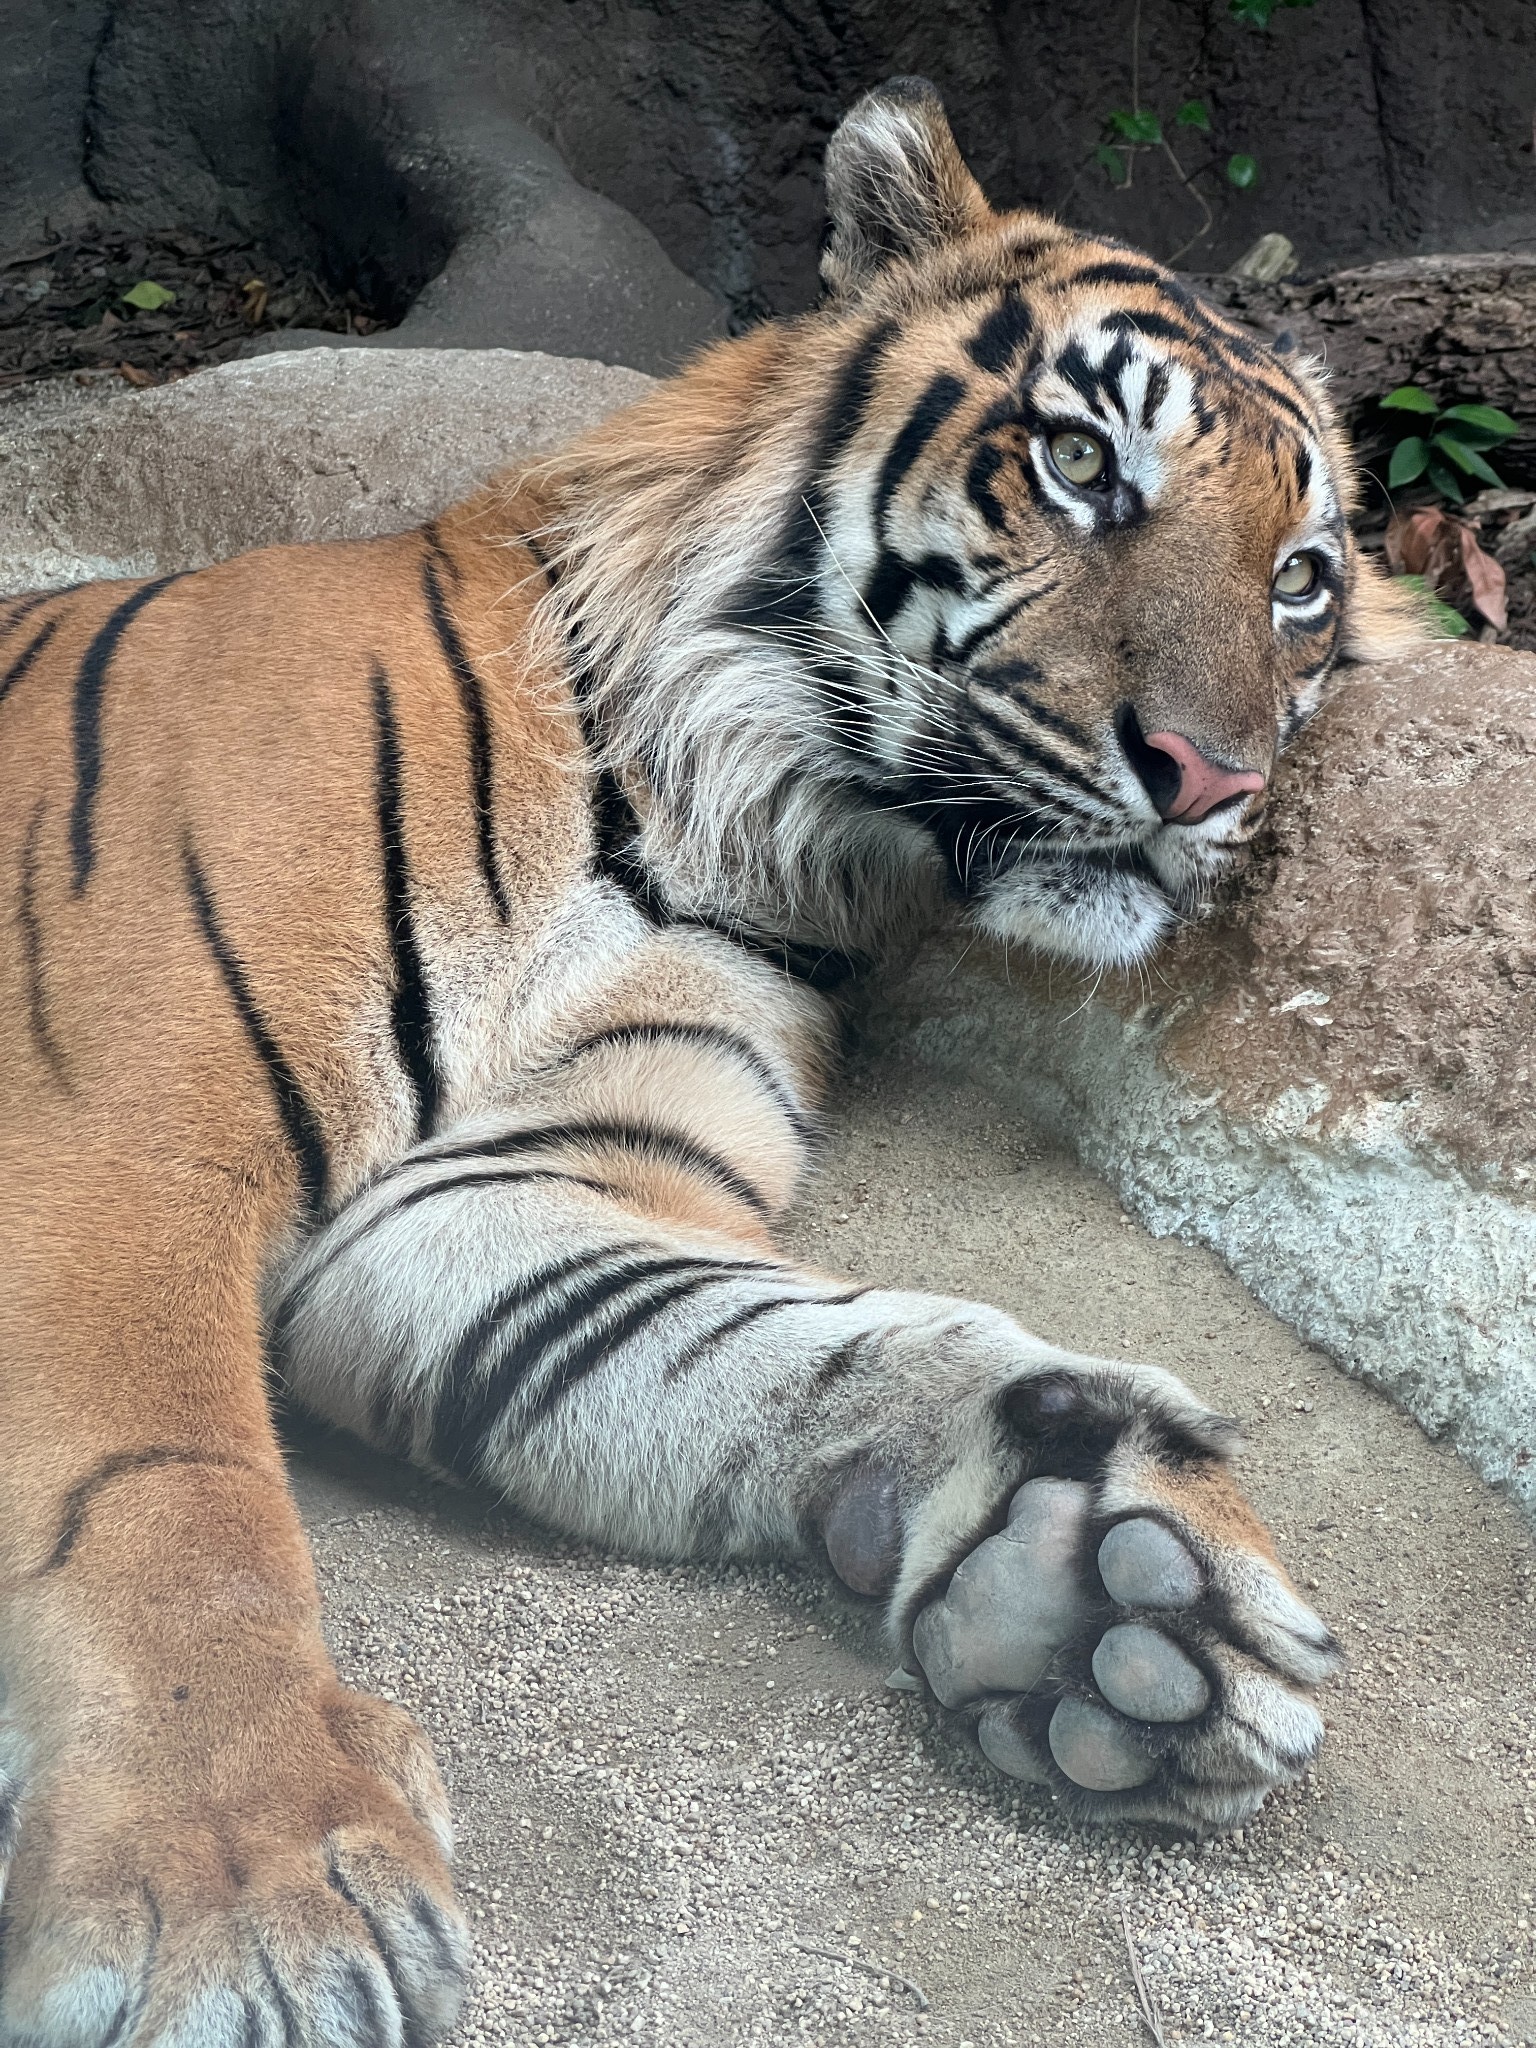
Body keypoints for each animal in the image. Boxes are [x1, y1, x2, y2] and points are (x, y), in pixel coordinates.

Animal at [0, 75, 1417, 2048]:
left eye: (1297, 583)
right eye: (1079, 464)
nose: (1218, 783)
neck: (715, 810)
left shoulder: (508, 1184)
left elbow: (768, 1339)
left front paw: (1095, 1566)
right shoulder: (110, 1130)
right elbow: (159, 1500)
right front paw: (243, 1901)